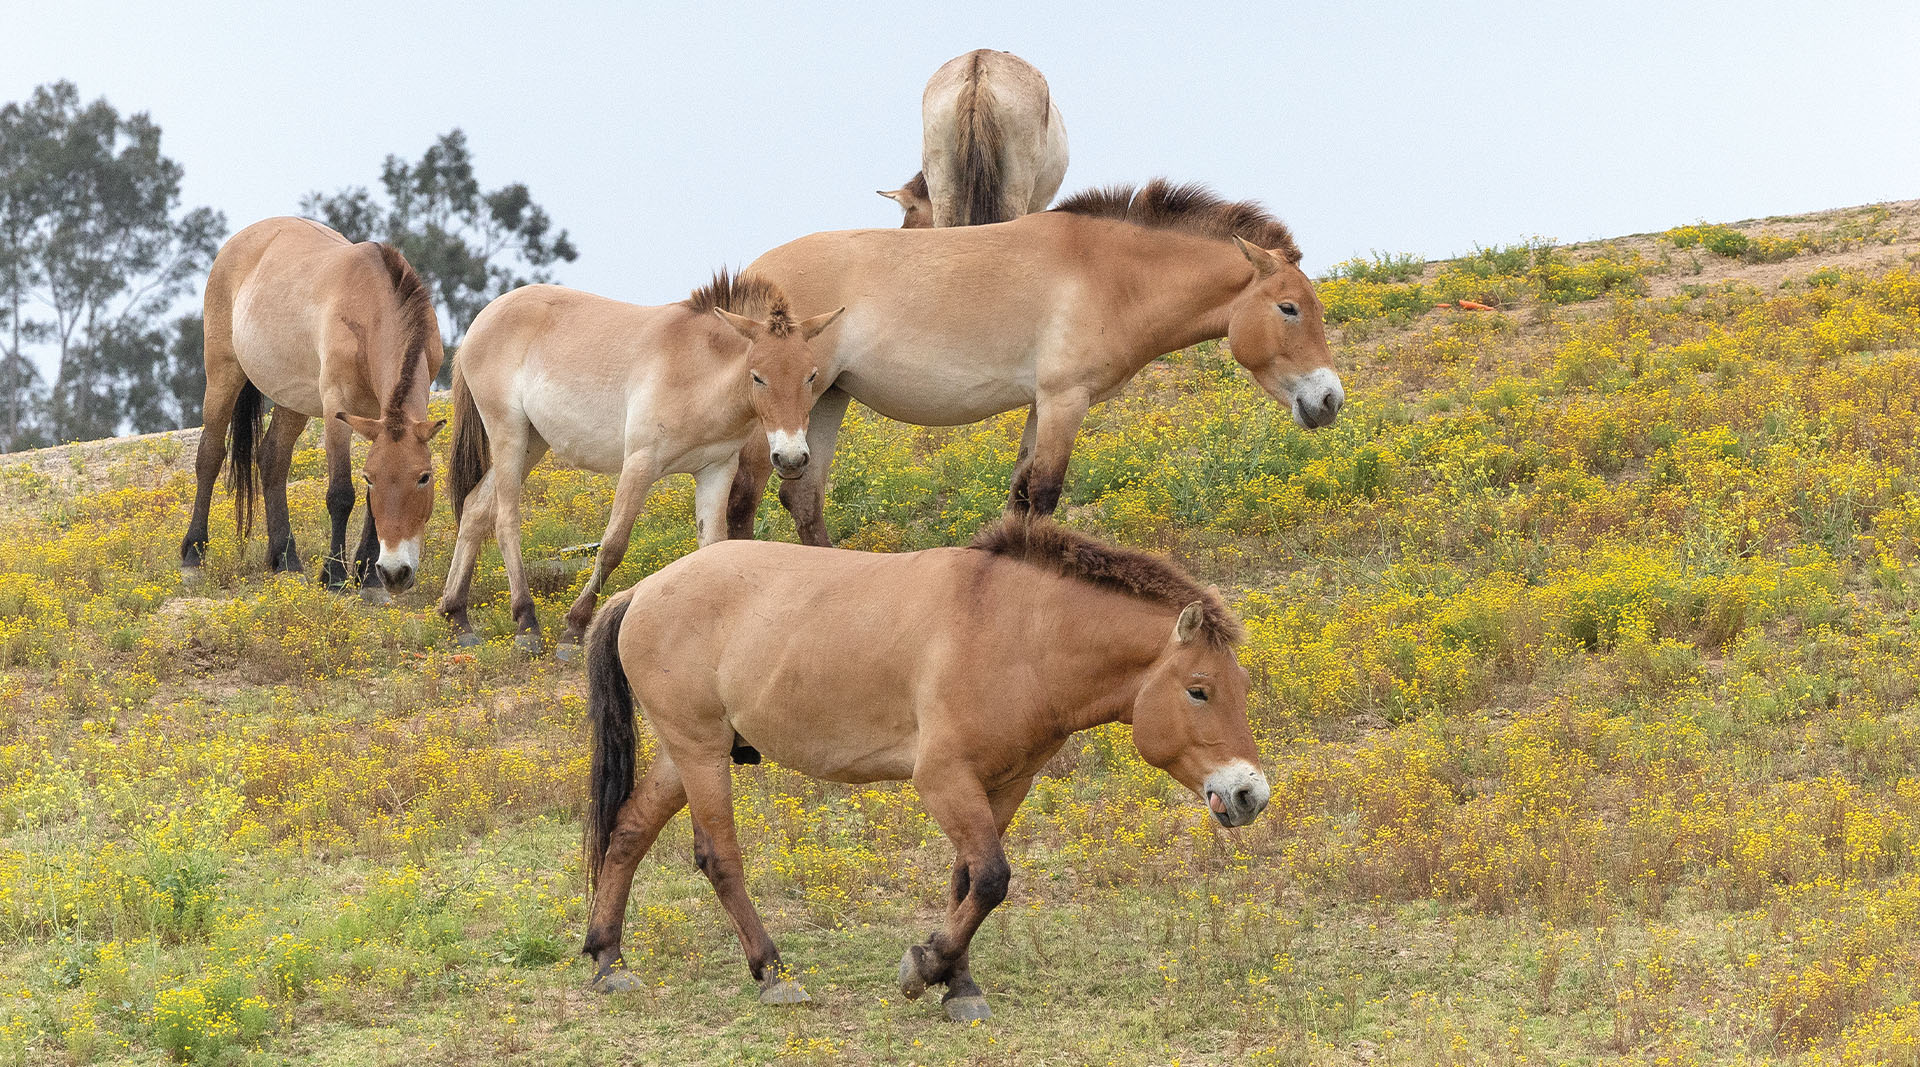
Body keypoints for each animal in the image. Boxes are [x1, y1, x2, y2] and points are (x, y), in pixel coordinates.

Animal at [180, 217, 445, 594]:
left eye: (423, 477)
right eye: (371, 478)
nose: (396, 573)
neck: (371, 308)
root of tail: (240, 240)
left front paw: (367, 577)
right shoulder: (336, 407)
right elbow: (341, 494)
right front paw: (334, 576)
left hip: (293, 400)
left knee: (272, 459)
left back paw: (286, 560)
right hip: (223, 373)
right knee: (210, 456)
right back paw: (194, 556)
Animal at [443, 268, 848, 648]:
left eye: (811, 376)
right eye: (758, 377)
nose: (791, 458)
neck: (696, 369)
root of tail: (483, 318)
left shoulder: (716, 470)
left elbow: (712, 547)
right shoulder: (639, 465)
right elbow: (612, 546)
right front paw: (574, 628)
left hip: (533, 441)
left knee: (476, 508)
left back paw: (457, 618)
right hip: (508, 434)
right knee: (505, 520)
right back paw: (526, 623)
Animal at [583, 521, 1274, 1020]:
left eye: (1240, 687)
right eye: (1199, 690)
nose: (1249, 794)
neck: (1018, 632)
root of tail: (642, 590)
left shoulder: (1004, 784)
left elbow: (967, 880)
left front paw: (958, 985)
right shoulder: (943, 780)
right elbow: (992, 877)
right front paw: (927, 966)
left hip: (685, 755)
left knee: (629, 831)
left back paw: (608, 959)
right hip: (700, 753)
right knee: (719, 857)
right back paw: (773, 974)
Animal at [725, 180, 1344, 545]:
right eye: (1289, 308)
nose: (1329, 399)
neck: (1111, 275)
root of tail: (749, 277)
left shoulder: (1039, 406)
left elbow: (1020, 495)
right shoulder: (1065, 400)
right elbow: (1045, 493)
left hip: (827, 397)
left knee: (803, 497)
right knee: (741, 503)